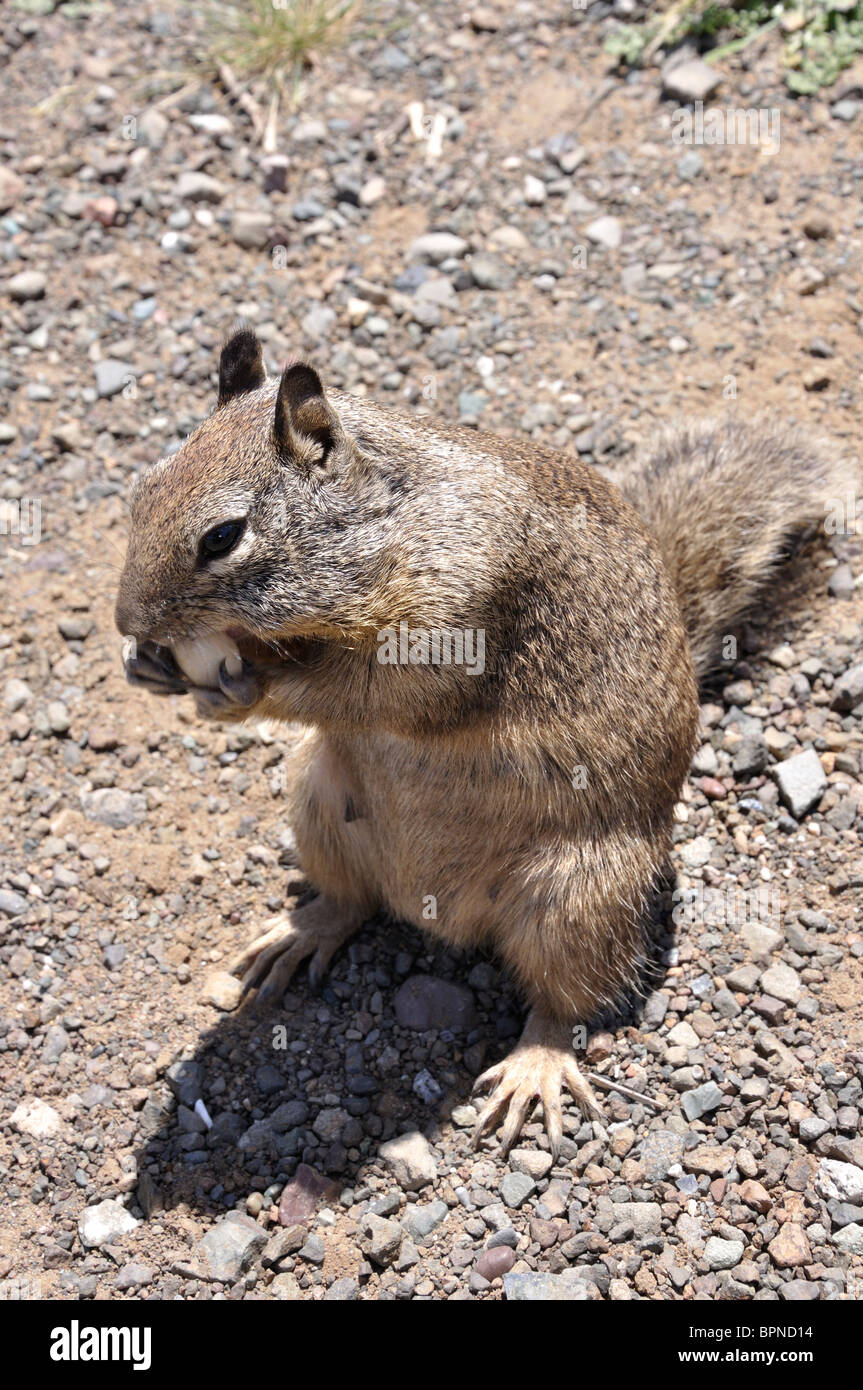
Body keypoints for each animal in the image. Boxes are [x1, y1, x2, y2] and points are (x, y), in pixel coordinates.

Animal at [115, 326, 854, 1155]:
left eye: (222, 537)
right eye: (141, 492)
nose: (125, 620)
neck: (392, 520)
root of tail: (441, 915)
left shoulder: (458, 612)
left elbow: (368, 690)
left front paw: (243, 690)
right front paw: (153, 669)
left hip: (577, 897)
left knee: (564, 998)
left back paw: (535, 1065)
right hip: (317, 800)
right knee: (349, 900)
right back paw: (302, 929)